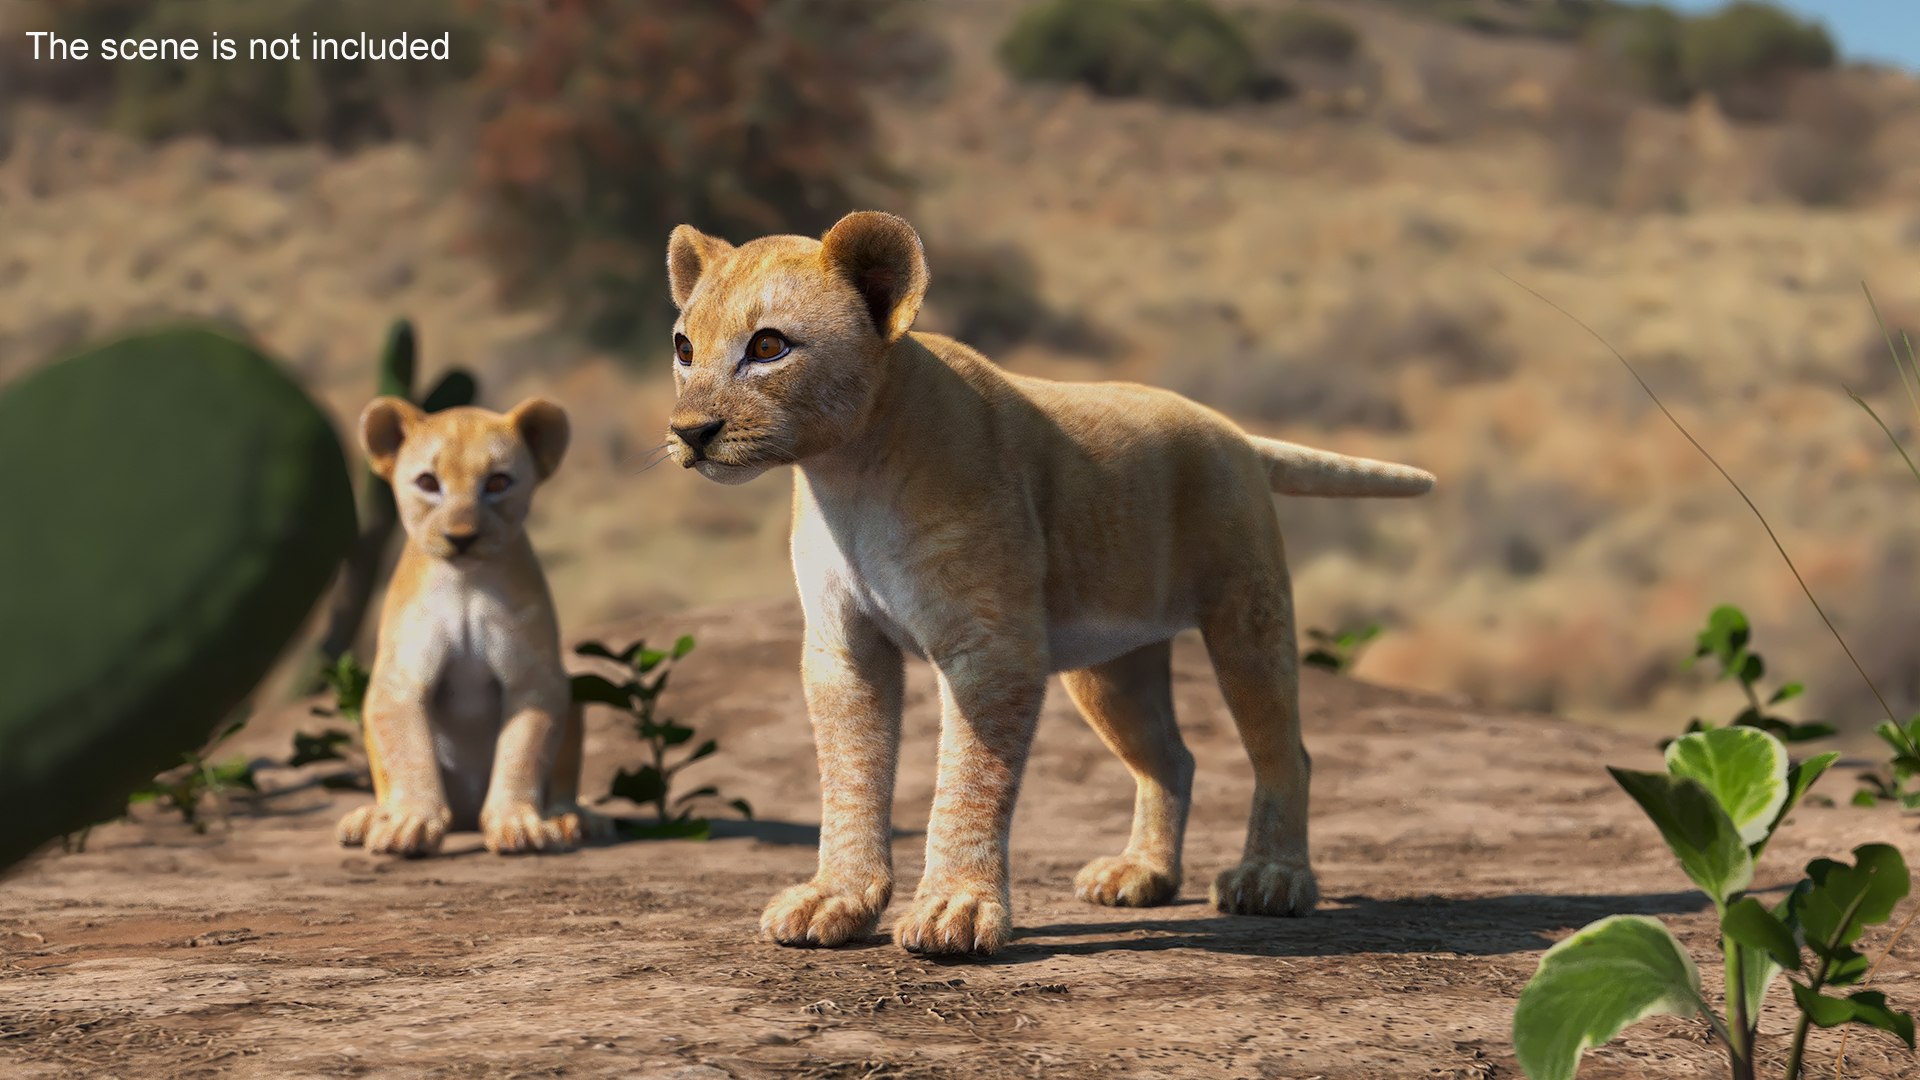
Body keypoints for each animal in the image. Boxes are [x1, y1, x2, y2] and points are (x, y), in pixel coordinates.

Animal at [335, 397, 592, 857]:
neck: (465, 585)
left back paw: (570, 819)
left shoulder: (535, 679)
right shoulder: (398, 681)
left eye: (498, 482)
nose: (461, 537)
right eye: (427, 482)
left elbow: (522, 752)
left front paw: (518, 824)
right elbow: (410, 755)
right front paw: (411, 823)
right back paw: (369, 818)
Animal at [661, 211, 1435, 954]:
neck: (847, 473)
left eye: (768, 347)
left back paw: (1271, 879)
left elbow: (970, 780)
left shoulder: (991, 645)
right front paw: (837, 900)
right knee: (1171, 759)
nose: (688, 432)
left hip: (1247, 615)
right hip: (1112, 665)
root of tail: (1234, 431)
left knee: (1284, 751)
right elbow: (850, 775)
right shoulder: (842, 647)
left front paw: (955, 909)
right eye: (684, 349)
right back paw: (1141, 874)